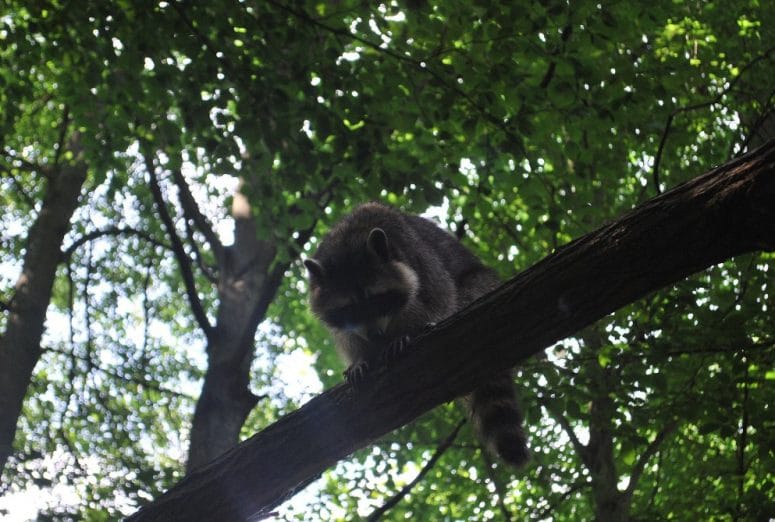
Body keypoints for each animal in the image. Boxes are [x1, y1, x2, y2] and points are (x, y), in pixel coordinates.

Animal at [304, 201, 528, 466]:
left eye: (376, 299)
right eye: (350, 308)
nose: (376, 336)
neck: (347, 242)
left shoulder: (415, 252)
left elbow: (438, 294)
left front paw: (412, 330)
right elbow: (347, 336)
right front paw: (361, 357)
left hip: (483, 283)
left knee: (466, 289)